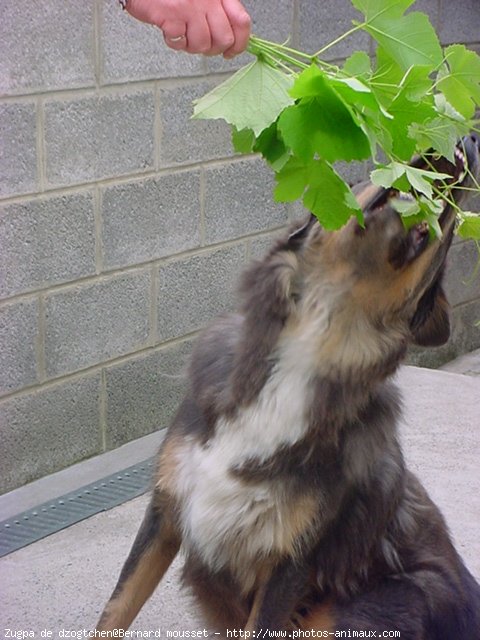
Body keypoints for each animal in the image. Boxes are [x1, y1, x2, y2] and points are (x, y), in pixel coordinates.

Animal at [95, 132, 478, 636]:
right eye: (360, 178)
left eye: (447, 235)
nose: (471, 138)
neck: (312, 344)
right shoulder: (167, 509)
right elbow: (116, 607)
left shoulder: (290, 561)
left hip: (367, 603)